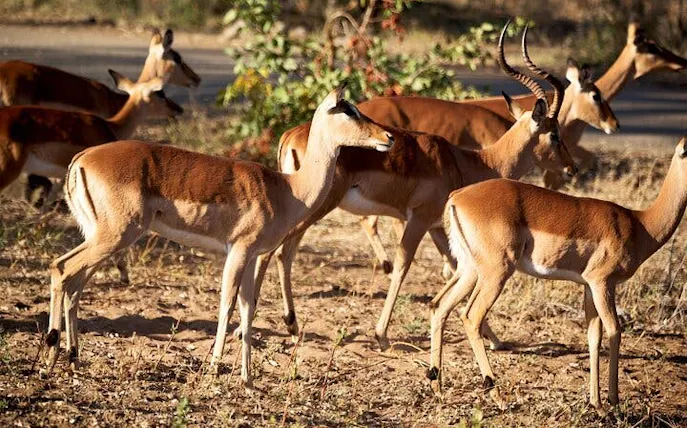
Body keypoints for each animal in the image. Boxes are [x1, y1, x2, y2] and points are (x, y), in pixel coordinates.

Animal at [42, 87, 394, 389]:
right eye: (348, 110)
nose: (388, 137)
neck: (287, 190)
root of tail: (82, 159)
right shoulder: (237, 251)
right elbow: (226, 305)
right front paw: (213, 369)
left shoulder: (251, 257)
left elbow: (248, 310)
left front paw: (247, 379)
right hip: (115, 235)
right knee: (60, 268)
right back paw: (50, 357)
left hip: (101, 237)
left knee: (74, 282)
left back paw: (73, 358)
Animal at [248, 23, 578, 352]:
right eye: (555, 134)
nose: (572, 168)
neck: (470, 163)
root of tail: (290, 135)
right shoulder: (418, 219)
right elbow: (403, 266)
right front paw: (381, 335)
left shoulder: (437, 228)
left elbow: (455, 269)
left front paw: (494, 338)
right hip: (316, 207)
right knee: (277, 252)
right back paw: (274, 325)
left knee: (281, 253)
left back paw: (282, 326)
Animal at [431, 134, 687, 409]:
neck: (640, 225)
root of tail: (458, 196)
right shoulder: (602, 283)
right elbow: (614, 332)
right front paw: (613, 402)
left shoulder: (589, 287)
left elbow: (593, 336)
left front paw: (596, 403)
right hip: (496, 272)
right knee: (470, 317)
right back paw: (496, 394)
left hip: (469, 270)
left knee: (439, 305)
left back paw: (437, 385)